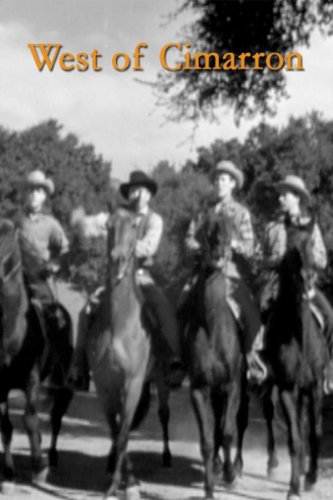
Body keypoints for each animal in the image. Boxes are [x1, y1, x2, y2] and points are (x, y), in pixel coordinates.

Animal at [0, 221, 73, 490]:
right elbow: (6, 427)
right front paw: (8, 473)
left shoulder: (30, 378)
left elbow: (30, 420)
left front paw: (38, 467)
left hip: (61, 381)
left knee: (56, 418)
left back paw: (50, 457)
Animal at [85, 207, 171, 500]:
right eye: (108, 225)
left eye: (134, 225)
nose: (118, 259)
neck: (118, 324)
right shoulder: (104, 385)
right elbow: (116, 430)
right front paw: (120, 475)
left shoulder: (132, 383)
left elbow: (123, 432)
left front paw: (122, 485)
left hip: (160, 379)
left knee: (163, 413)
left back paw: (165, 457)